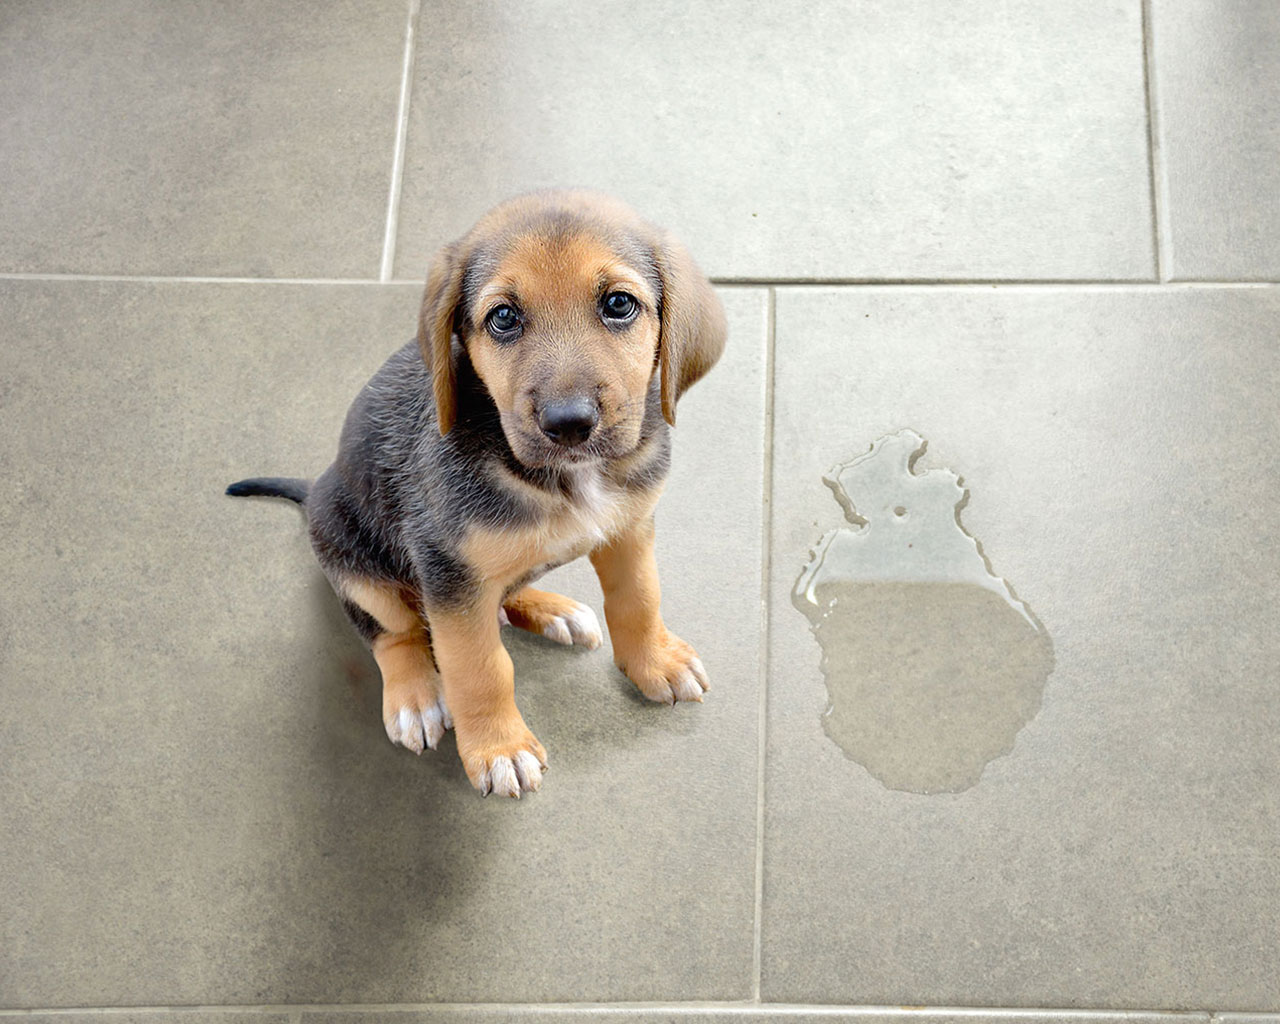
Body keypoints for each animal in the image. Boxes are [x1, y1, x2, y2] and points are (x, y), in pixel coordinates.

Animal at [229, 192, 727, 798]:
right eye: (504, 318)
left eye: (619, 304)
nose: (569, 424)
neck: (566, 478)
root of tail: (316, 487)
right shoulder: (449, 573)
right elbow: (480, 668)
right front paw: (499, 748)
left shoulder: (630, 529)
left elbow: (639, 599)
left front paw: (654, 661)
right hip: (353, 559)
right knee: (393, 632)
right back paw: (415, 696)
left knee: (504, 590)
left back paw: (552, 609)